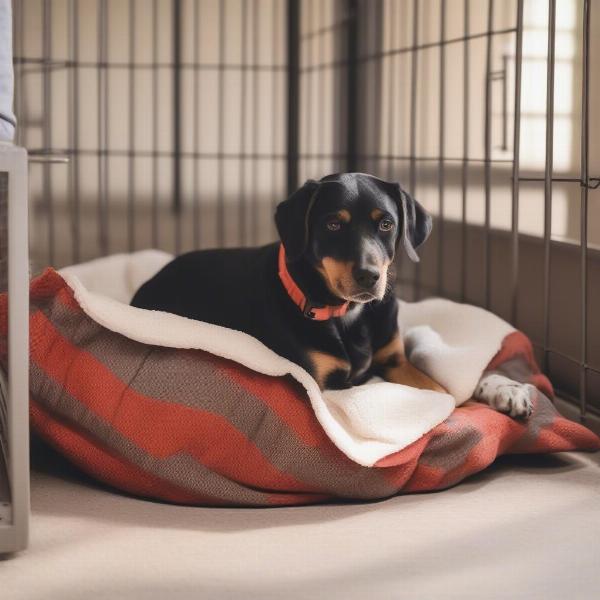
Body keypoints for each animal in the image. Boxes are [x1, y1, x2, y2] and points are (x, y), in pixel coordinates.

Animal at [131, 173, 536, 414]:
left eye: (386, 224)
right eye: (332, 224)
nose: (369, 276)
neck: (348, 315)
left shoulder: (395, 360)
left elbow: (449, 395)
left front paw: (504, 388)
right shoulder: (325, 384)